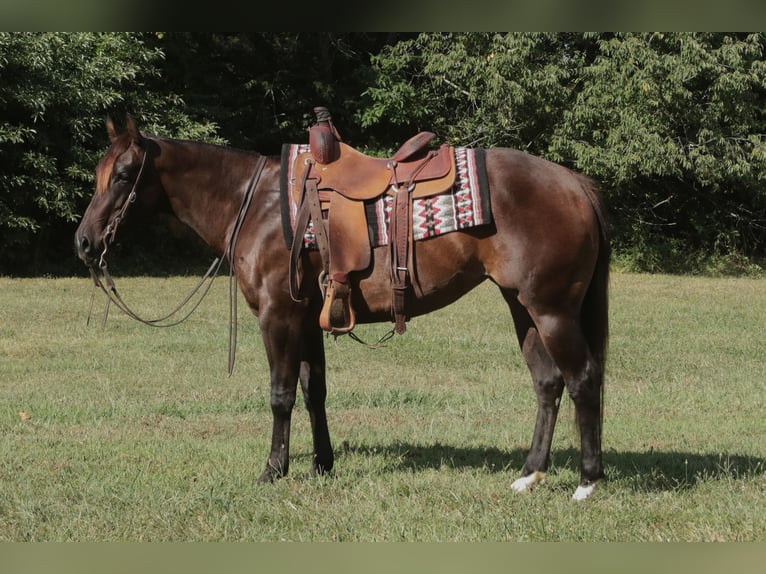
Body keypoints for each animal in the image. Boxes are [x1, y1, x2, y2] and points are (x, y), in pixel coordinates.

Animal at [75, 114, 610, 501]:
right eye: (100, 174)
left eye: (123, 175)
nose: (83, 242)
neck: (258, 205)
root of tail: (575, 182)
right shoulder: (308, 319)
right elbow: (315, 391)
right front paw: (321, 464)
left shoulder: (277, 316)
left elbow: (281, 395)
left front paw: (273, 470)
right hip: (522, 306)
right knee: (548, 383)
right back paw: (530, 474)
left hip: (552, 309)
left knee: (583, 379)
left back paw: (587, 481)